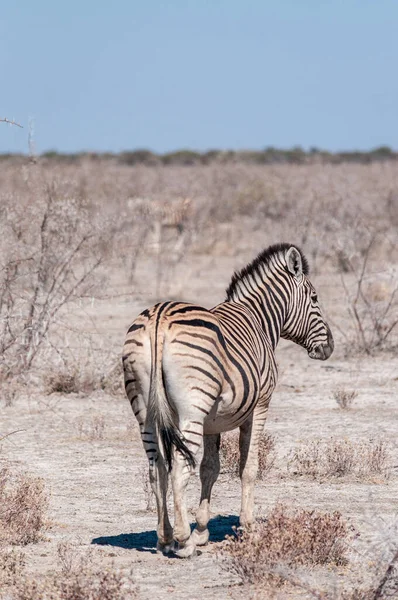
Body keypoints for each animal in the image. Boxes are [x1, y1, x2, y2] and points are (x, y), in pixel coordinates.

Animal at [123, 243, 332, 556]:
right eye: (315, 297)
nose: (329, 347)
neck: (259, 320)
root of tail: (158, 318)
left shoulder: (212, 421)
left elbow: (210, 469)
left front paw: (202, 529)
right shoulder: (259, 406)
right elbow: (249, 467)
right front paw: (248, 528)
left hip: (145, 413)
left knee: (156, 467)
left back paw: (165, 537)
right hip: (191, 411)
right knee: (179, 469)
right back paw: (183, 541)